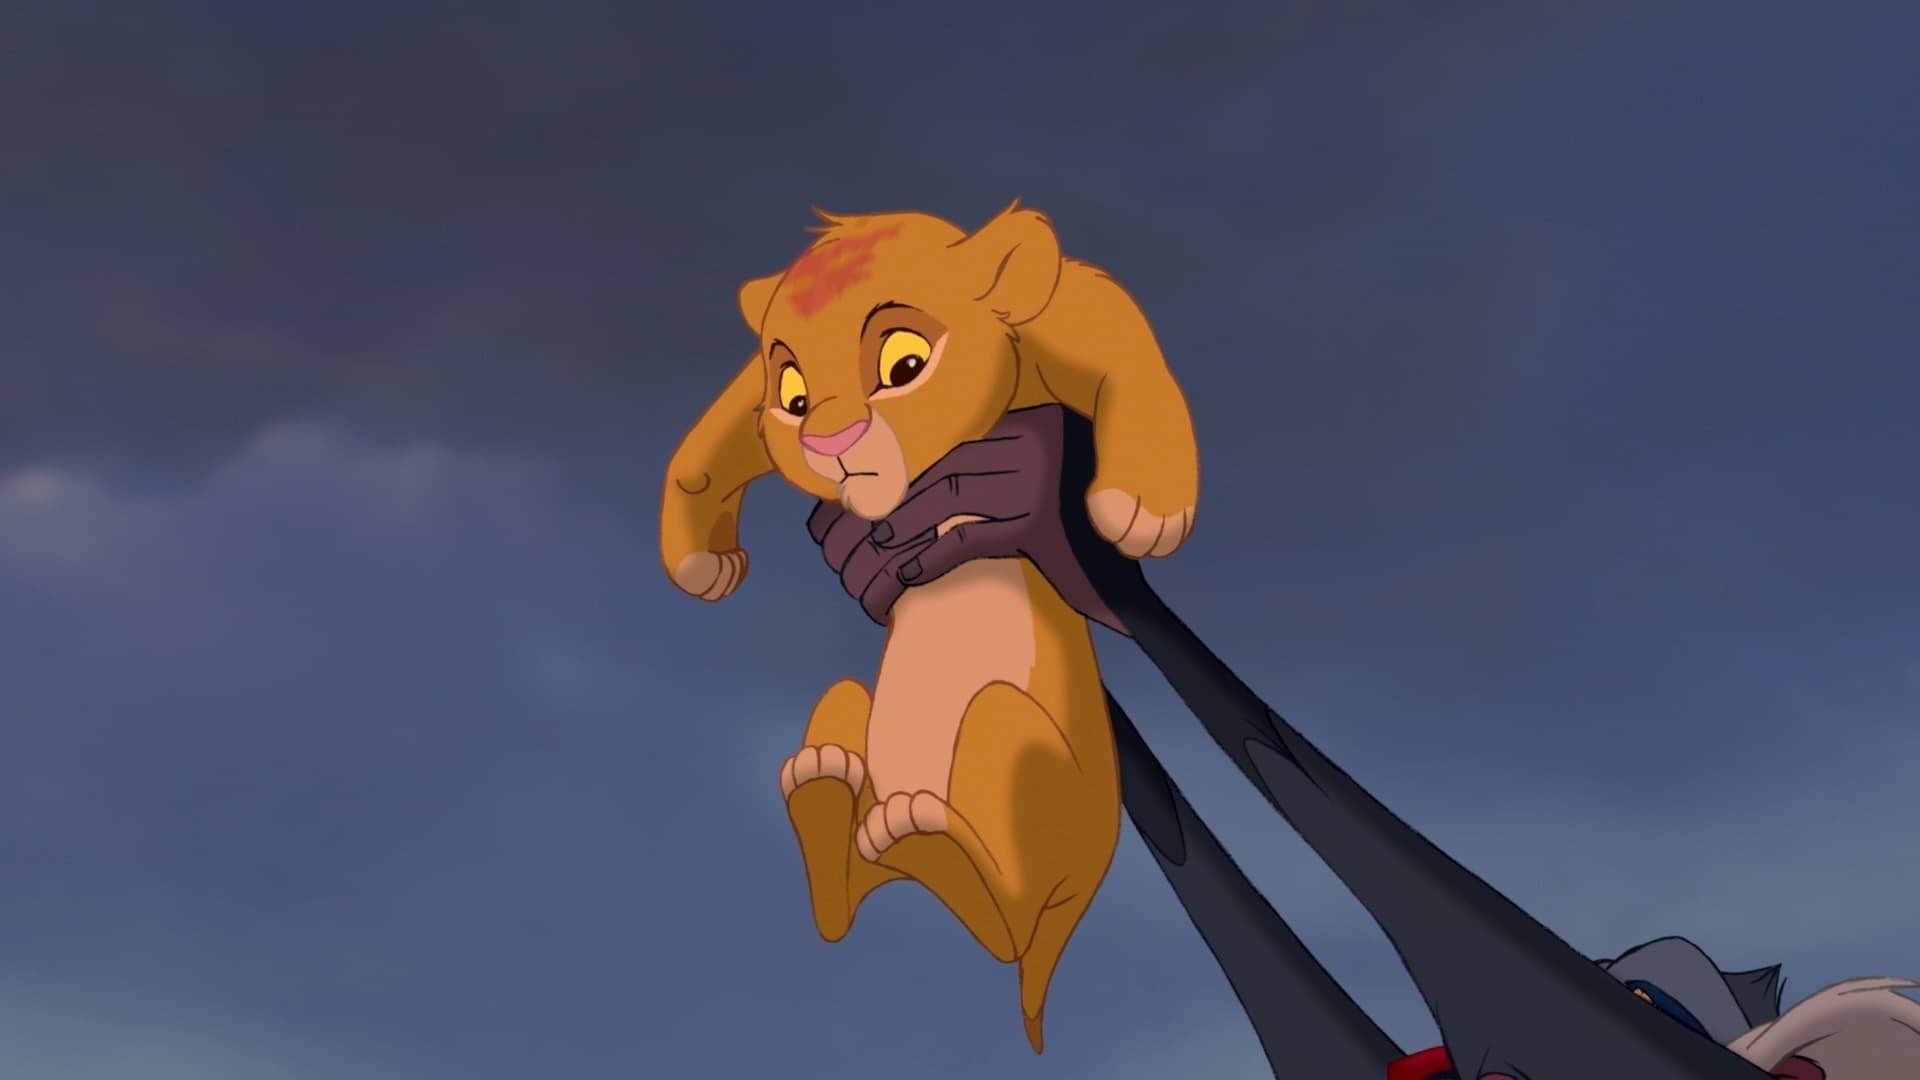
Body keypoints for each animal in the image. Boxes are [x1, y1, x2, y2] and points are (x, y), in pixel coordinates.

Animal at [658, 202, 1200, 1052]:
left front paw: (1143, 506)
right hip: (856, 724)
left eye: (904, 364)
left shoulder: (1054, 321)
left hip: (1017, 748)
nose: (828, 445)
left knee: (1006, 916)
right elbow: (712, 441)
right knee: (849, 895)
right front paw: (698, 559)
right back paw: (826, 787)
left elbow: (1118, 337)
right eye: (793, 394)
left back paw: (925, 829)